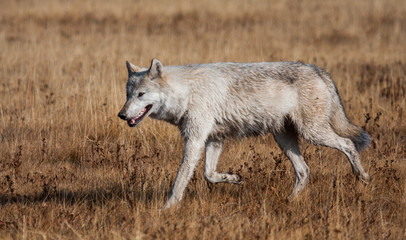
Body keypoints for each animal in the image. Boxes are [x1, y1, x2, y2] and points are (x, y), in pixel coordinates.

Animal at [117, 58, 372, 208]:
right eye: (128, 94)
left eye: (140, 95)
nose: (121, 114)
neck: (187, 93)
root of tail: (319, 70)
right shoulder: (213, 140)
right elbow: (209, 174)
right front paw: (234, 178)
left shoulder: (196, 140)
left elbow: (179, 181)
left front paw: (167, 210)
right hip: (285, 139)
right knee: (304, 170)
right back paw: (289, 201)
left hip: (312, 133)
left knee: (348, 144)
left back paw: (363, 176)